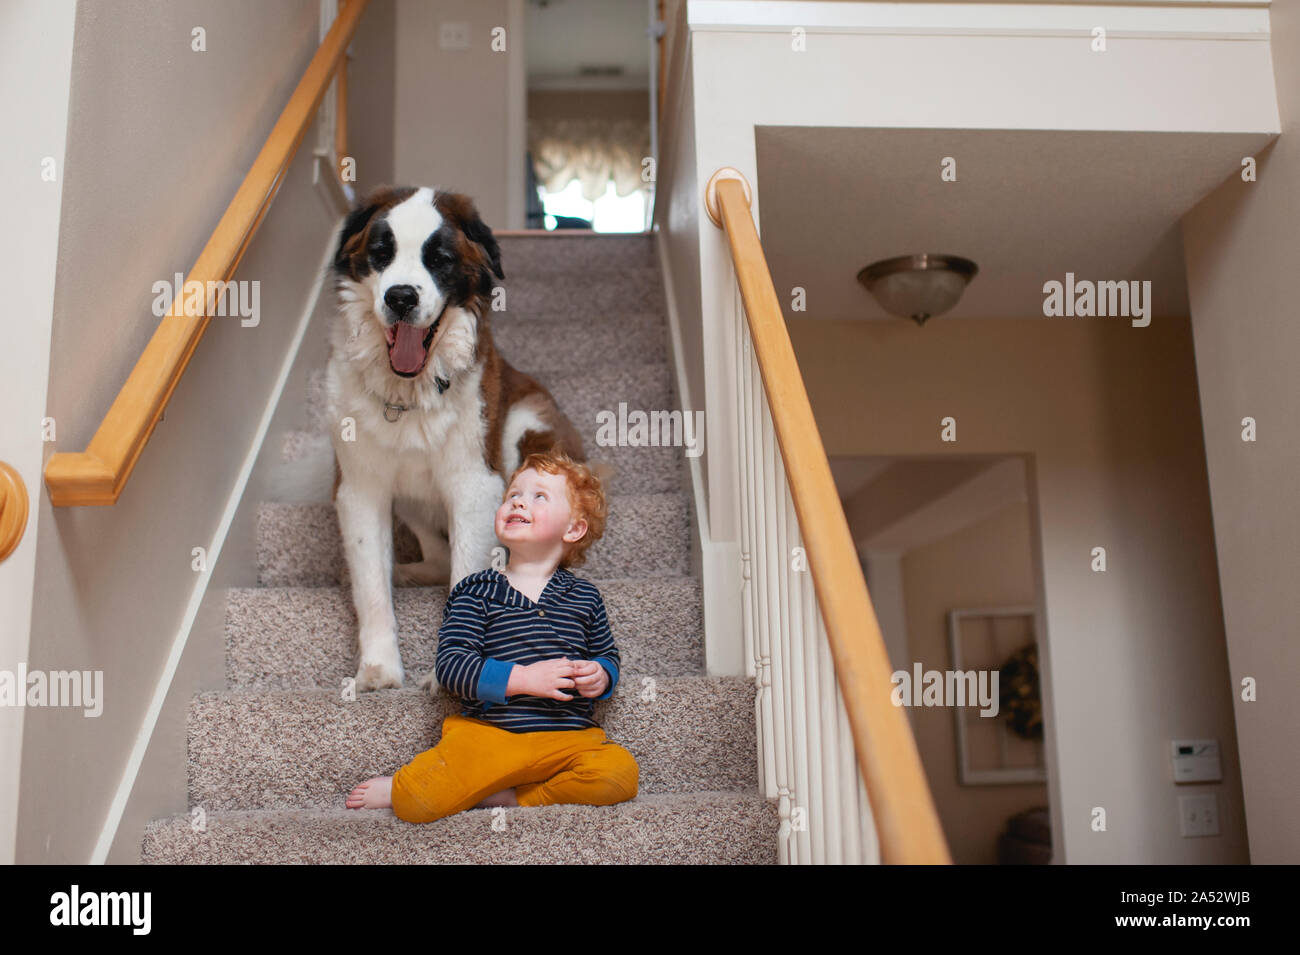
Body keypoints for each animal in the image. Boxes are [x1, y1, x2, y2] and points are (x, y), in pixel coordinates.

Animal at [325, 184, 590, 696]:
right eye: (381, 253)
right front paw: (379, 668)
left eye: (439, 259)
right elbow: (371, 586)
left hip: (524, 429)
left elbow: (467, 570)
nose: (401, 297)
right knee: (434, 552)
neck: (406, 392)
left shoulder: (475, 485)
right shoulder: (360, 491)